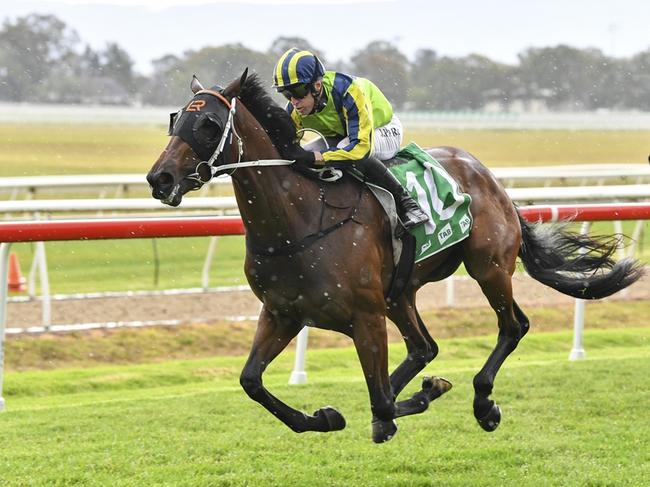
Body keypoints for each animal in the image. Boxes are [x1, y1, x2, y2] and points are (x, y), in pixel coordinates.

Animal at [146, 70, 636, 444]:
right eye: (175, 119)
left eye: (209, 124)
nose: (159, 177)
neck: (299, 219)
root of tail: (490, 179)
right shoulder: (283, 312)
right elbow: (251, 381)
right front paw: (326, 417)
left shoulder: (364, 316)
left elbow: (381, 399)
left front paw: (413, 400)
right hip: (401, 291)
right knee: (424, 347)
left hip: (489, 267)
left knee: (512, 326)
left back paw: (483, 403)